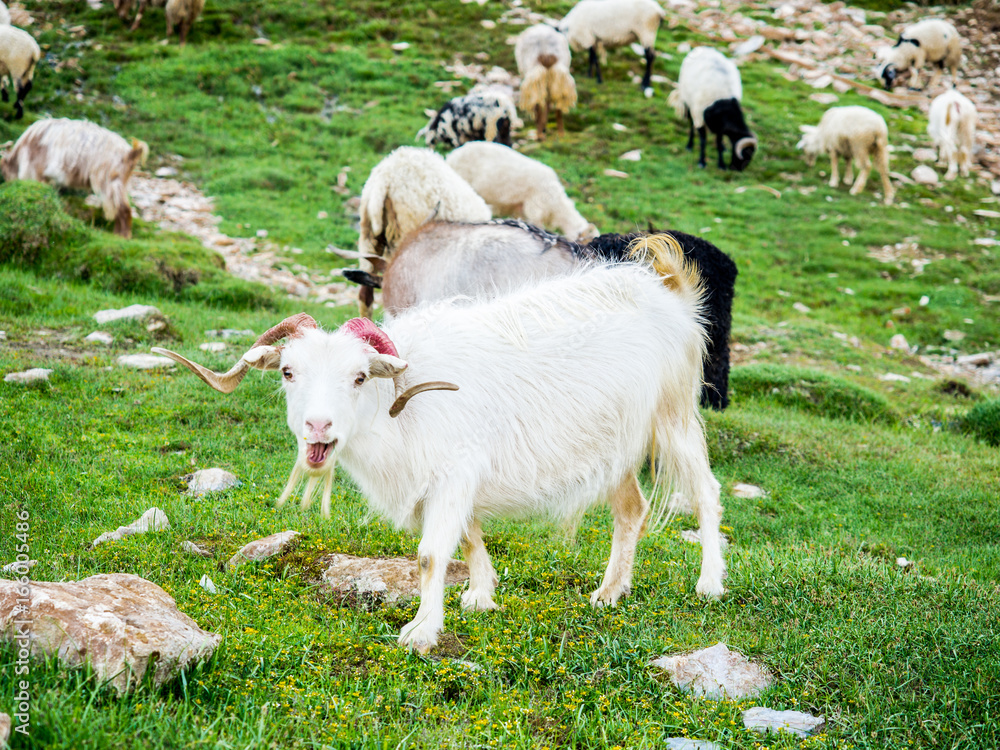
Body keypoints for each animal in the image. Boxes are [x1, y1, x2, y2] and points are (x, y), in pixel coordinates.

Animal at [154, 237, 727, 653]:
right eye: (288, 372)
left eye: (358, 377)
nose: (318, 427)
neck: (397, 411)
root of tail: (666, 289)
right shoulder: (447, 481)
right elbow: (469, 538)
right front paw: (480, 595)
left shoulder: (454, 473)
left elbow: (431, 555)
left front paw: (421, 632)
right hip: (615, 447)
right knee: (632, 510)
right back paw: (610, 592)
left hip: (674, 416)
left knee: (705, 491)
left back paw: (710, 584)